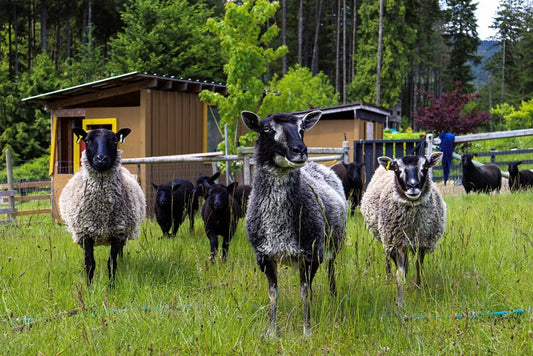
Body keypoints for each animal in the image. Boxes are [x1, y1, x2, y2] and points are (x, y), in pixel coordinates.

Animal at [240, 110, 348, 336]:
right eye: (267, 129)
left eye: (302, 129)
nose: (300, 150)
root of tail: (318, 165)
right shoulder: (264, 256)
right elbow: (273, 293)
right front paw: (271, 332)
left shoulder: (310, 253)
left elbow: (304, 292)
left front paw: (307, 331)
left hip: (331, 245)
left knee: (330, 271)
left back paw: (333, 298)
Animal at [360, 153, 446, 308]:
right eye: (396, 168)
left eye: (425, 167)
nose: (413, 186)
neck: (413, 225)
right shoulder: (397, 242)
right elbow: (400, 273)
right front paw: (400, 301)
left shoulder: (422, 242)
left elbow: (419, 267)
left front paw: (419, 288)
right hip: (386, 238)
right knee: (388, 258)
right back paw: (388, 278)